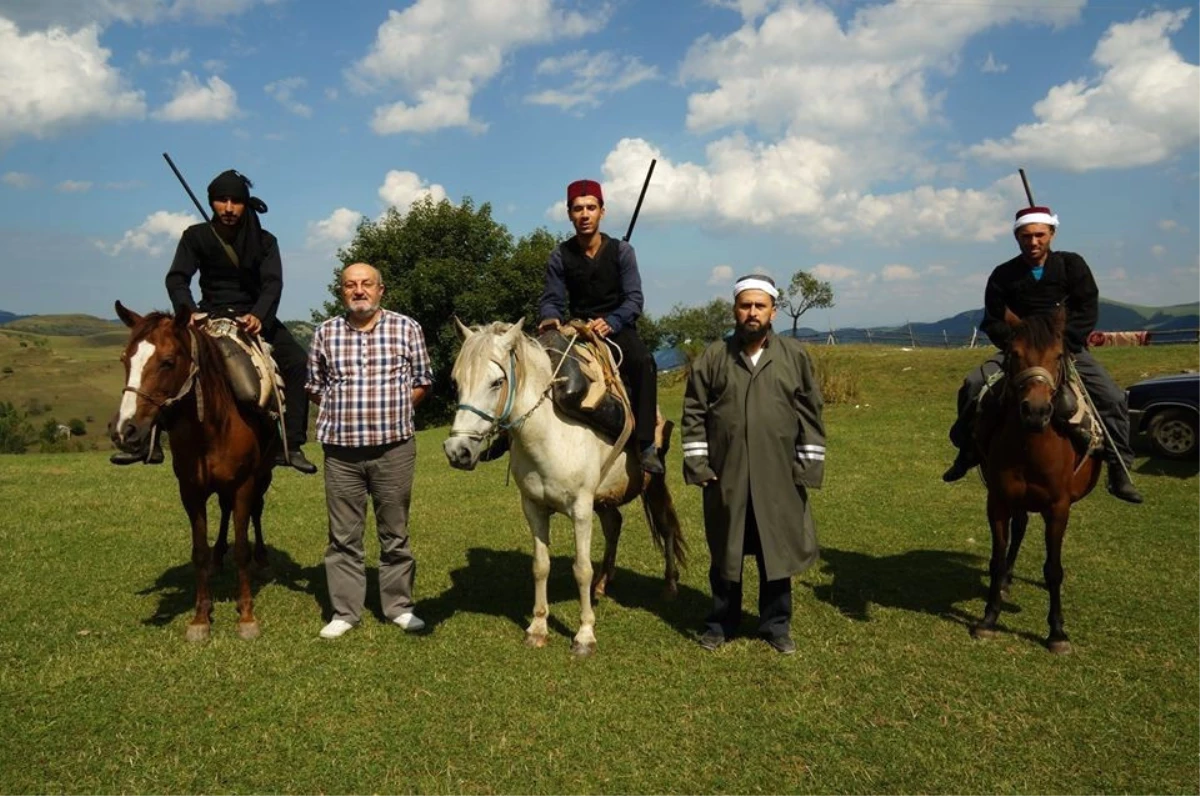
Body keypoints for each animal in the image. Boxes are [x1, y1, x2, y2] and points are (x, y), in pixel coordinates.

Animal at [106, 302, 277, 643]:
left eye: (168, 362)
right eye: (124, 359)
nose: (124, 430)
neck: (212, 425)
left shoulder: (244, 484)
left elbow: (242, 549)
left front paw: (247, 616)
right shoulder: (190, 490)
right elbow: (198, 551)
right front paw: (200, 618)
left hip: (262, 476)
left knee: (256, 511)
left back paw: (262, 558)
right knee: (224, 512)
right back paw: (218, 557)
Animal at [969, 307, 1099, 657]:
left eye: (1058, 355)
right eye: (1014, 354)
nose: (1036, 411)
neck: (1031, 447)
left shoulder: (1058, 507)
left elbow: (1053, 569)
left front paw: (1057, 632)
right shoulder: (998, 501)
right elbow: (997, 559)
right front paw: (989, 618)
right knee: (1020, 529)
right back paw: (1005, 583)